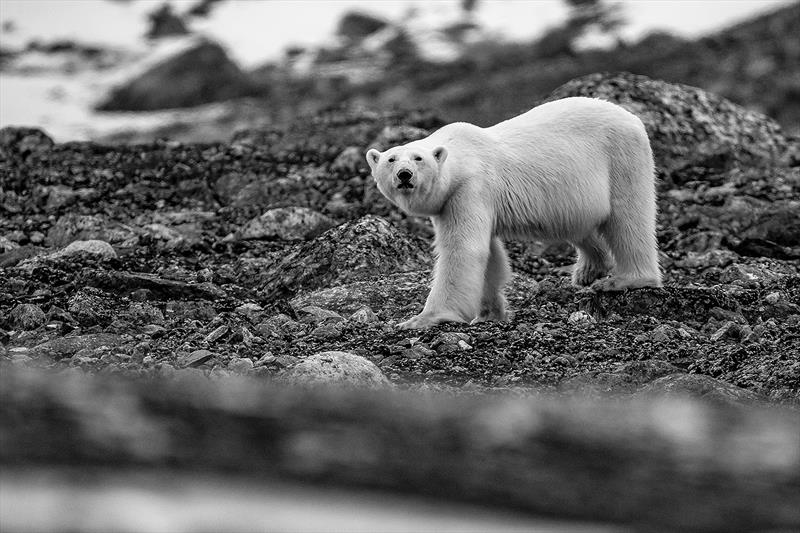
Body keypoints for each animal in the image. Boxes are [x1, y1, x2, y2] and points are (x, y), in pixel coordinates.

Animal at [366, 96, 660, 328]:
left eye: (418, 158)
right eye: (391, 159)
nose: (405, 175)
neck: (461, 157)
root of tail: (632, 117)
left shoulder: (470, 189)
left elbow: (464, 250)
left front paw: (422, 319)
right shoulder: (450, 204)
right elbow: (491, 257)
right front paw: (489, 313)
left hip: (620, 157)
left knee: (628, 217)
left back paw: (626, 279)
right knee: (579, 226)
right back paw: (589, 270)